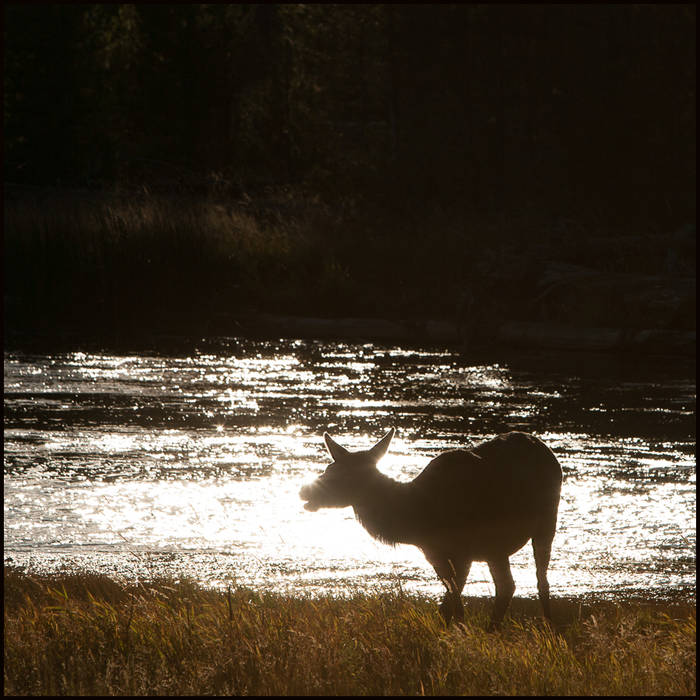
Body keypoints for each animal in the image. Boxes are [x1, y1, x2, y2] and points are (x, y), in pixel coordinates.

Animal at [299, 428, 562, 627]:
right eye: (329, 469)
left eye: (337, 474)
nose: (304, 490)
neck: (419, 517)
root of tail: (545, 450)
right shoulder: (434, 552)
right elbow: (448, 604)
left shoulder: (464, 551)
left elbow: (454, 603)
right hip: (495, 547)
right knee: (507, 586)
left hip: (541, 524)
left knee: (536, 580)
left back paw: (546, 628)